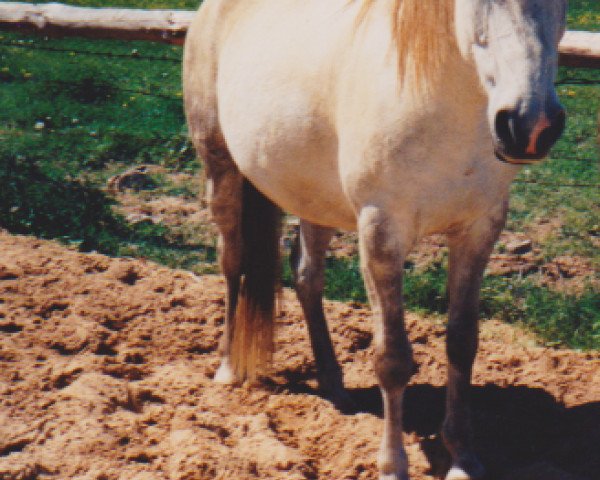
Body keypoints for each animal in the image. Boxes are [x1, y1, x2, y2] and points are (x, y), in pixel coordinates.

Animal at [183, 1, 568, 478]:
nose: (530, 125)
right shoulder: (381, 232)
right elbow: (392, 359)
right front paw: (392, 465)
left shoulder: (479, 230)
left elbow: (462, 344)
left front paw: (462, 457)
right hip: (221, 168)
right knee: (232, 261)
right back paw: (227, 366)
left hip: (314, 197)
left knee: (307, 277)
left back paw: (334, 384)